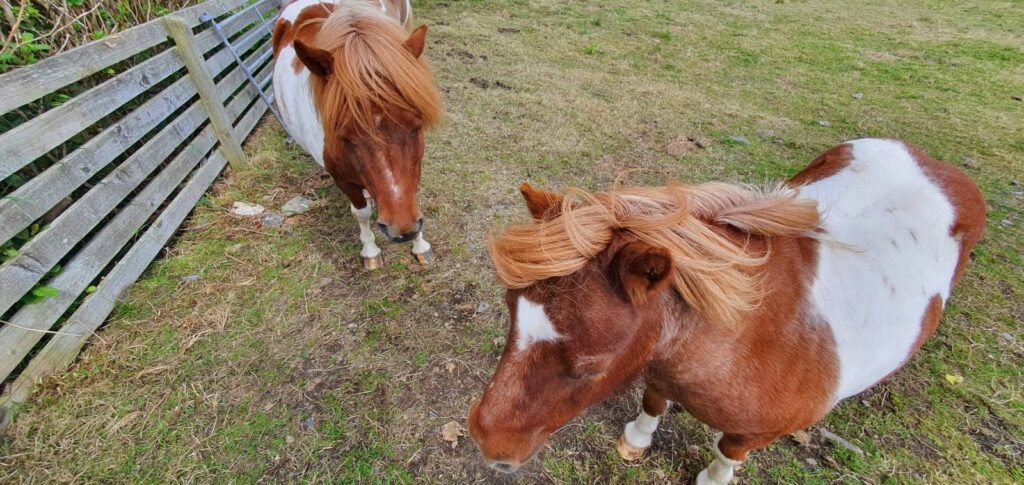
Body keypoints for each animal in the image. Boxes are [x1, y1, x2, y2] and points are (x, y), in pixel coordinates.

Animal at [271, 0, 442, 269]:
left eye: (417, 126)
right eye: (345, 137)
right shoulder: (341, 177)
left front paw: (421, 245)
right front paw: (370, 251)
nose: (402, 230)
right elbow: (360, 213)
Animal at [466, 138, 986, 483]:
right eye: (511, 315)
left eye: (591, 366)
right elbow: (653, 399)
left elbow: (726, 452)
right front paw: (636, 440)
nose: (487, 441)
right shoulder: (659, 369)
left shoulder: (753, 434)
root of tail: (938, 166)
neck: (750, 335)